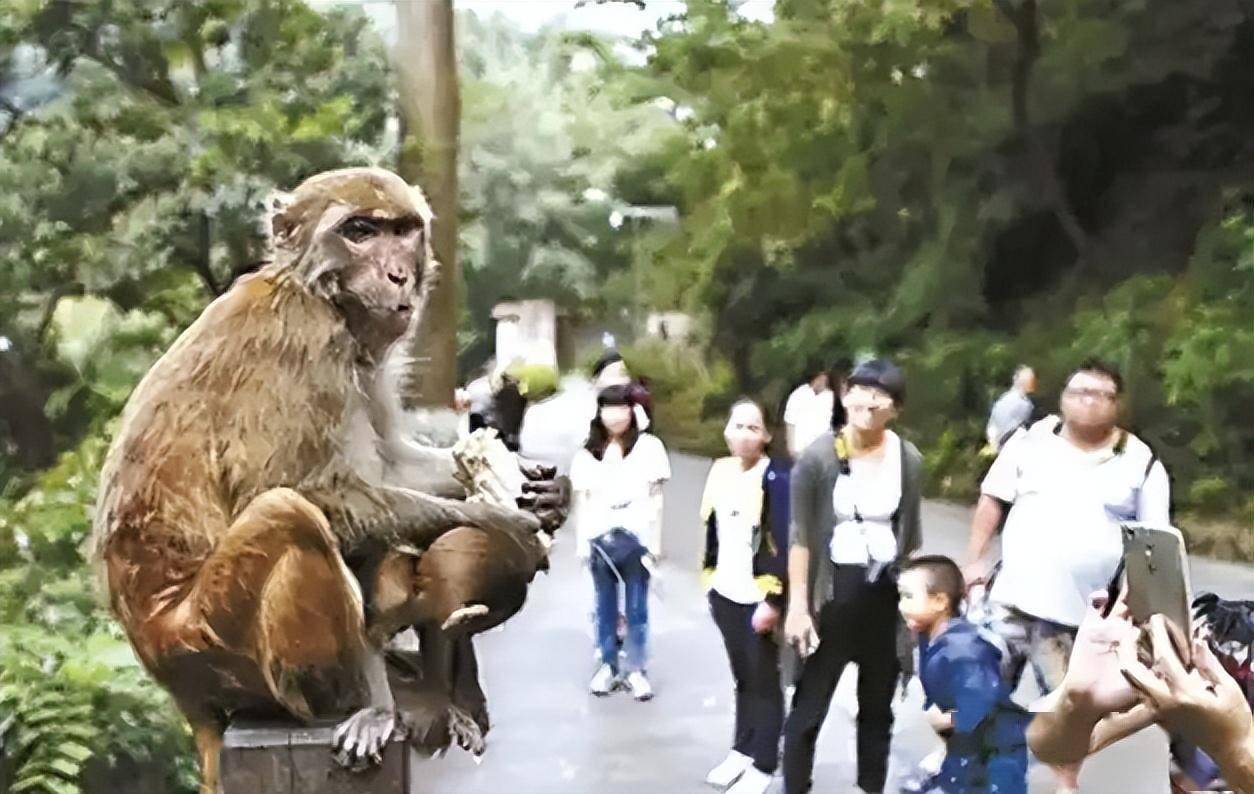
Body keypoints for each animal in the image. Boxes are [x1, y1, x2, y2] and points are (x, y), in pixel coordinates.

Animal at [91, 165, 554, 787]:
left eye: (401, 231)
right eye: (359, 231)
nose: (397, 274)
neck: (317, 293)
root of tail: (181, 692)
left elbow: (389, 462)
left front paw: (542, 489)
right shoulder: (305, 341)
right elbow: (298, 488)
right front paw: (503, 524)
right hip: (211, 647)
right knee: (289, 514)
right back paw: (364, 701)